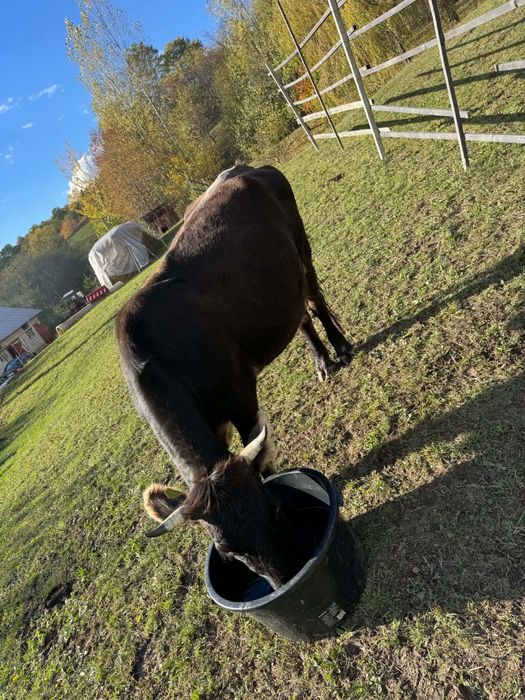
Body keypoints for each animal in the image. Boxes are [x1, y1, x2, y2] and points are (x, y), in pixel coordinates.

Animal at [116, 165, 353, 589]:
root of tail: (246, 169)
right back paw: (322, 362)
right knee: (300, 315)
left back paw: (339, 348)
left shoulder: (241, 397)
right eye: (229, 554)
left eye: (274, 509)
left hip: (301, 248)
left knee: (314, 301)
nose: (283, 579)